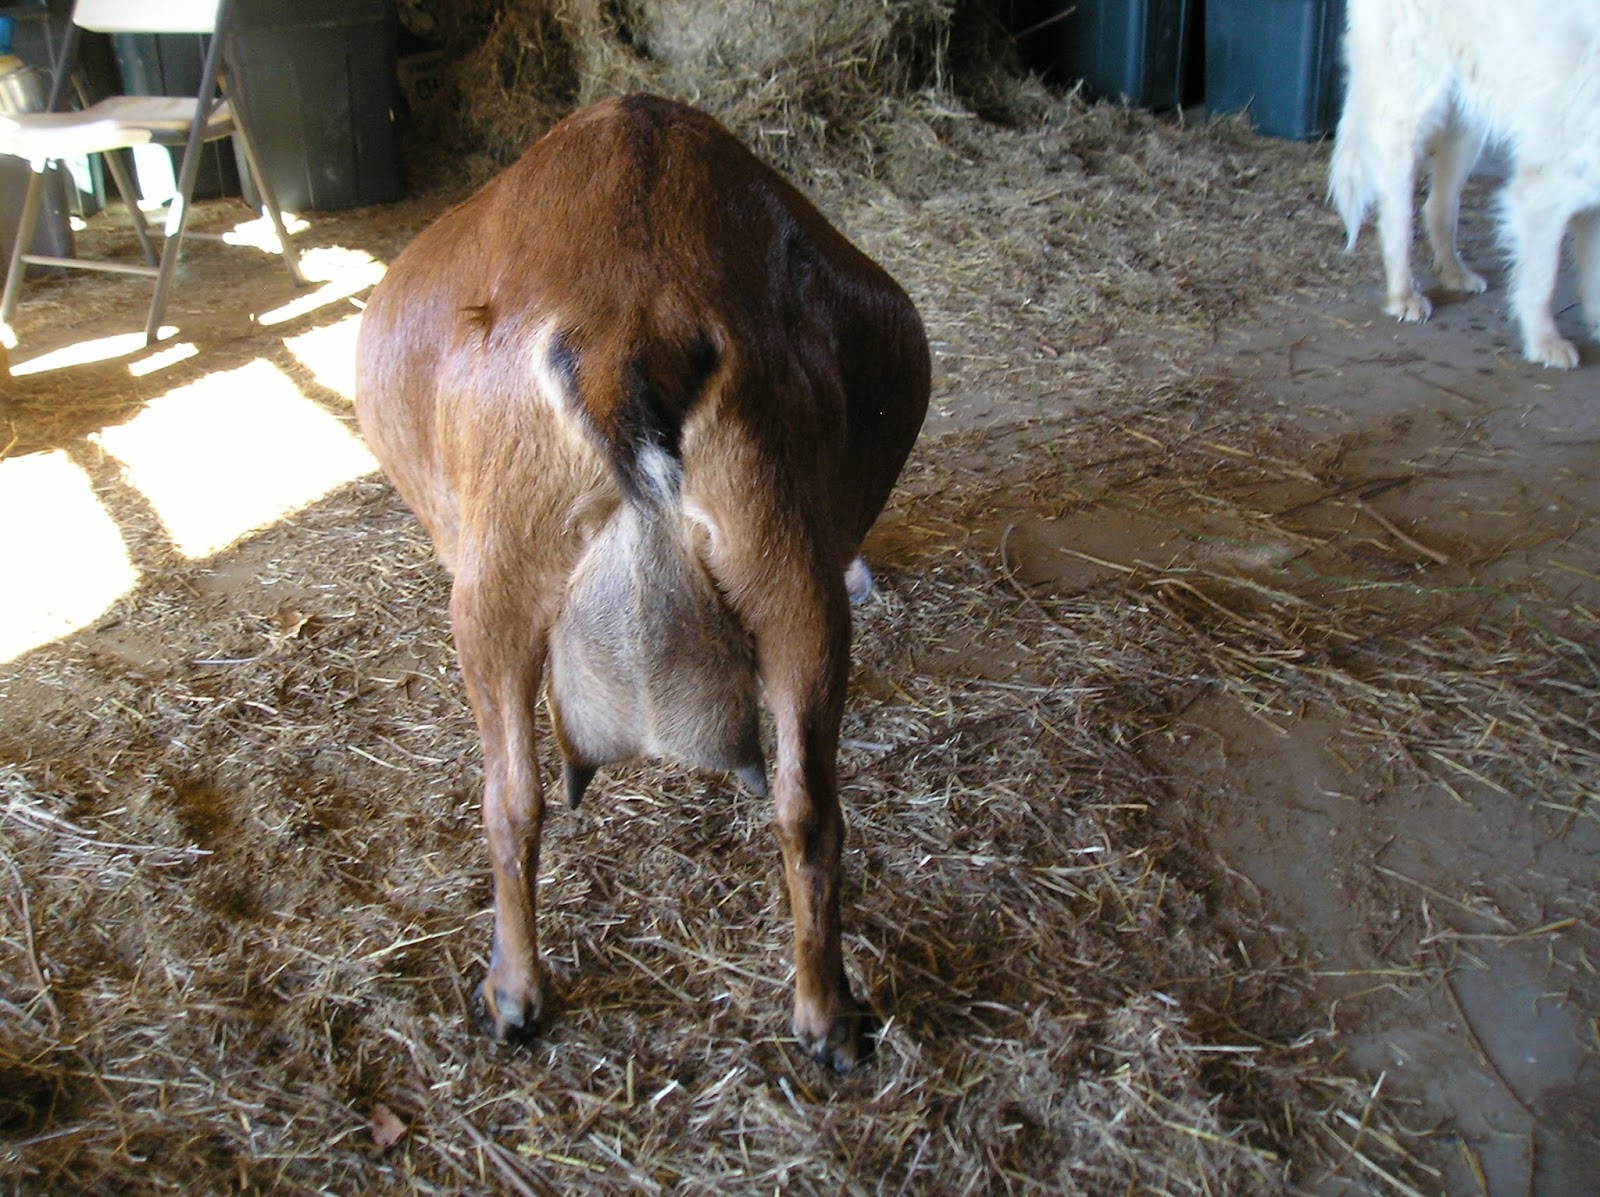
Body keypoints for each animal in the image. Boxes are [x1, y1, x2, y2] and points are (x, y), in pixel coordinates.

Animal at [353, 95, 930, 1071]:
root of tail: (631, 327)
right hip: (787, 581)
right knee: (806, 806)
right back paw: (828, 1017)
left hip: (496, 588)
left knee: (510, 799)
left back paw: (512, 994)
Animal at [1328, 0, 1600, 367]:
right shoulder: (1544, 190)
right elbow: (1542, 279)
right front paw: (1545, 342)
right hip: (1408, 109)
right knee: (1397, 219)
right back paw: (1403, 294)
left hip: (1467, 123)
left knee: (1437, 207)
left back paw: (1453, 271)